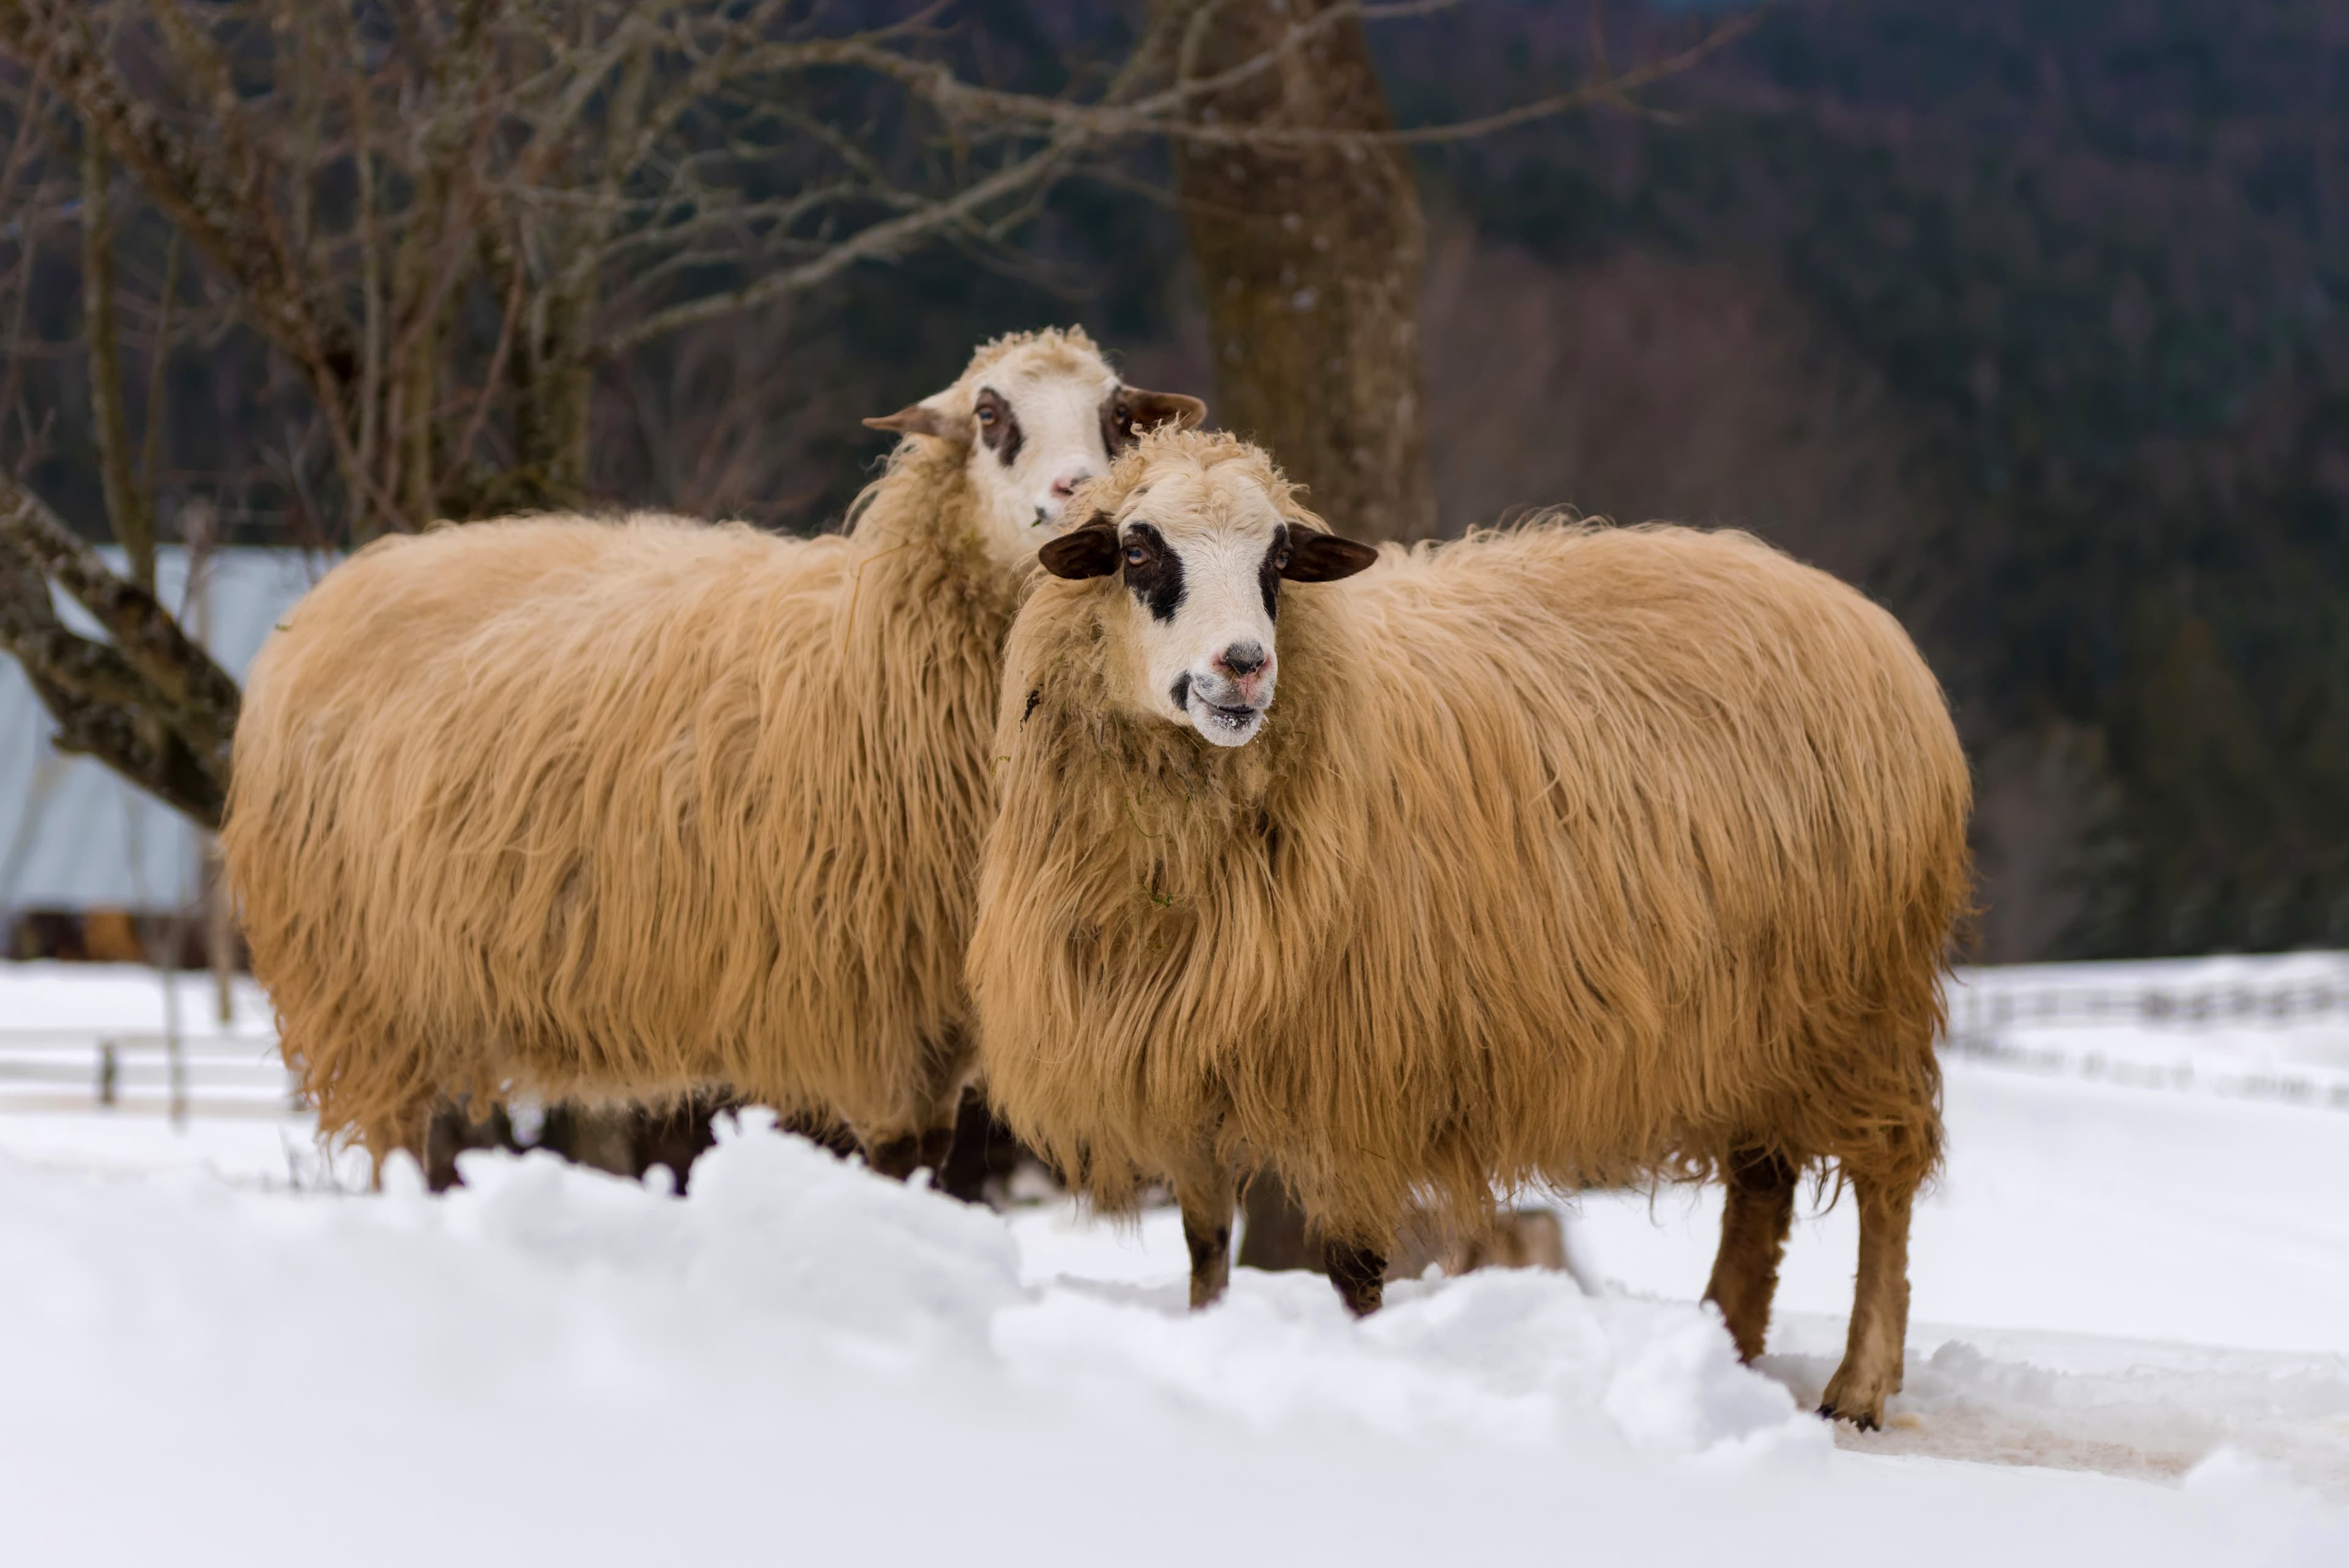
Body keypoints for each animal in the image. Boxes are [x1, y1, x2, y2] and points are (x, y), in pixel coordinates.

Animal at [221, 327, 1203, 1187]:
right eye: (991, 414)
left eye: (1119, 415)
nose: (1077, 492)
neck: (871, 648)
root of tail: (342, 585)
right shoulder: (869, 1000)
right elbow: (900, 1166)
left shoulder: (937, 1009)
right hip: (360, 980)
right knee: (395, 1138)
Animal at [968, 428, 1971, 1429]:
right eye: (1138, 551)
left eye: (1280, 560)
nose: (1246, 664)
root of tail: (1850, 610)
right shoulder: (1187, 1066)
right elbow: (1207, 1250)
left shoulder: (1362, 1073)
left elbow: (1354, 1270)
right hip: (1760, 1020)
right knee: (1762, 1186)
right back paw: (1725, 1350)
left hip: (1863, 1000)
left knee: (1887, 1176)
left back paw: (1859, 1384)